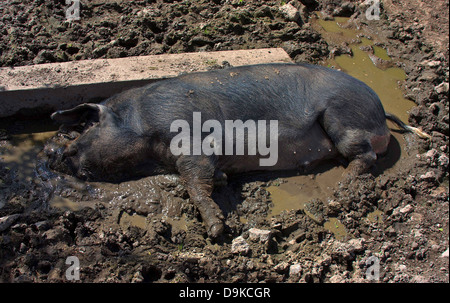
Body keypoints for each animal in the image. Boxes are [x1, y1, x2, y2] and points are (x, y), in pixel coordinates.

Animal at [47, 63, 430, 240]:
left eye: (85, 129)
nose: (52, 155)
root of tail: (381, 111)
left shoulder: (189, 137)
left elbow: (194, 180)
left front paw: (216, 229)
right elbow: (207, 176)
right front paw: (223, 181)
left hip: (342, 116)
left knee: (364, 156)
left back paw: (342, 189)